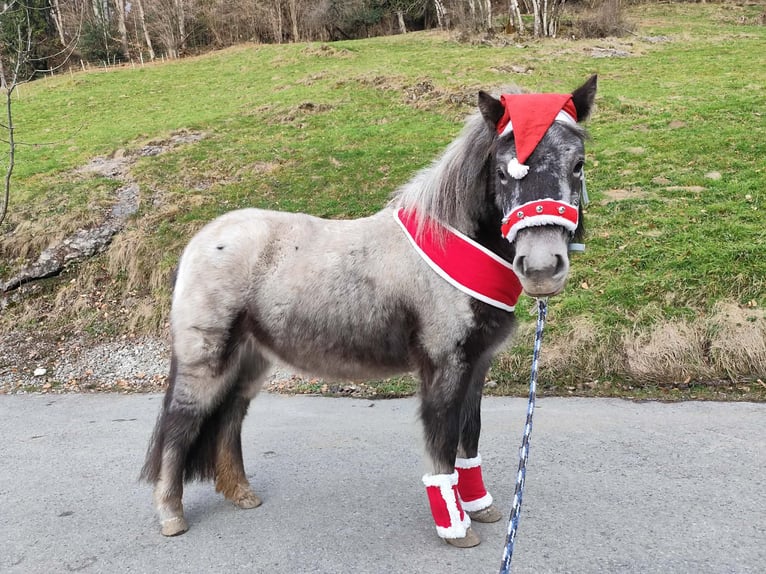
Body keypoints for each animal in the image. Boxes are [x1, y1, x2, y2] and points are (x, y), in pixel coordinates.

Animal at [141, 75, 597, 548]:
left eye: (578, 164)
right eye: (505, 171)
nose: (541, 267)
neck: (449, 246)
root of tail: (200, 241)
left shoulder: (476, 366)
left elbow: (468, 436)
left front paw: (480, 507)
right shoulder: (445, 367)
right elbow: (443, 443)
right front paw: (456, 528)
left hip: (249, 361)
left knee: (229, 419)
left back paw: (241, 494)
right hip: (205, 362)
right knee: (179, 425)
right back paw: (171, 515)